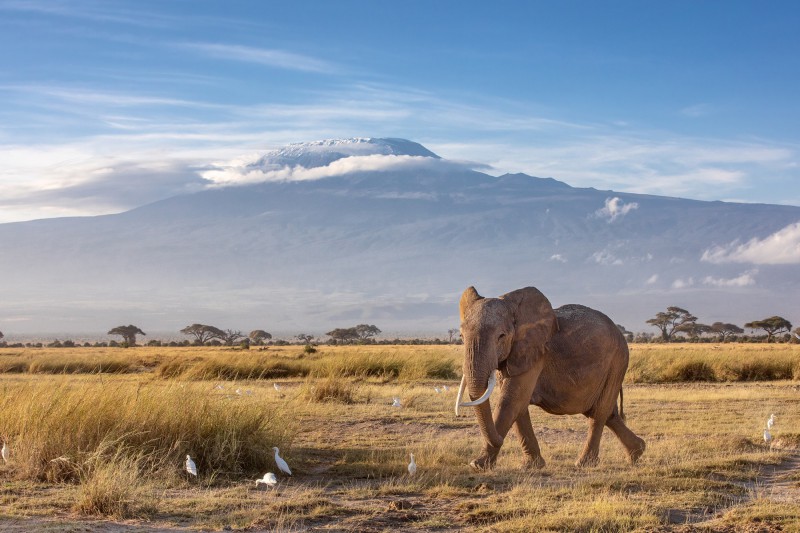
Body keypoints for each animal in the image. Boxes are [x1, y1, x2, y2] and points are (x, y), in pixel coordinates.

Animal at [454, 284, 648, 468]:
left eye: (501, 336)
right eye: (461, 336)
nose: (500, 440)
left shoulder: (536, 353)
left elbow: (511, 401)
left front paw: (477, 465)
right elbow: (519, 405)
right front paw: (532, 465)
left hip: (617, 361)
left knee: (599, 413)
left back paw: (584, 463)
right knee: (608, 413)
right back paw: (637, 452)